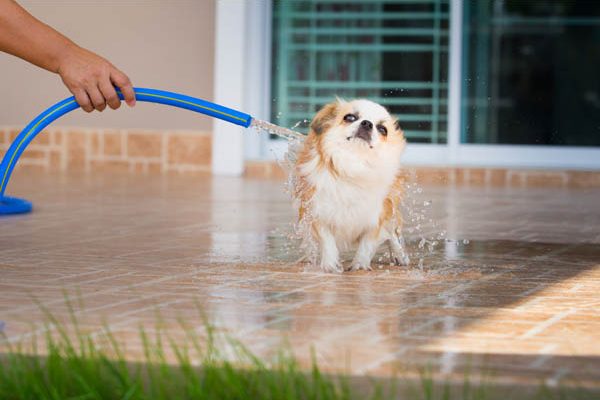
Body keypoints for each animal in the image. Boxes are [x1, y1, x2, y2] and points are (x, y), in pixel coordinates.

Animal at [293, 99, 410, 273]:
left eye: (382, 129)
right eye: (350, 117)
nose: (367, 123)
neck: (354, 165)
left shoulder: (377, 216)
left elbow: (367, 244)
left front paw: (359, 266)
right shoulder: (317, 210)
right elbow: (327, 240)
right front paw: (330, 264)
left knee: (393, 234)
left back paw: (400, 255)